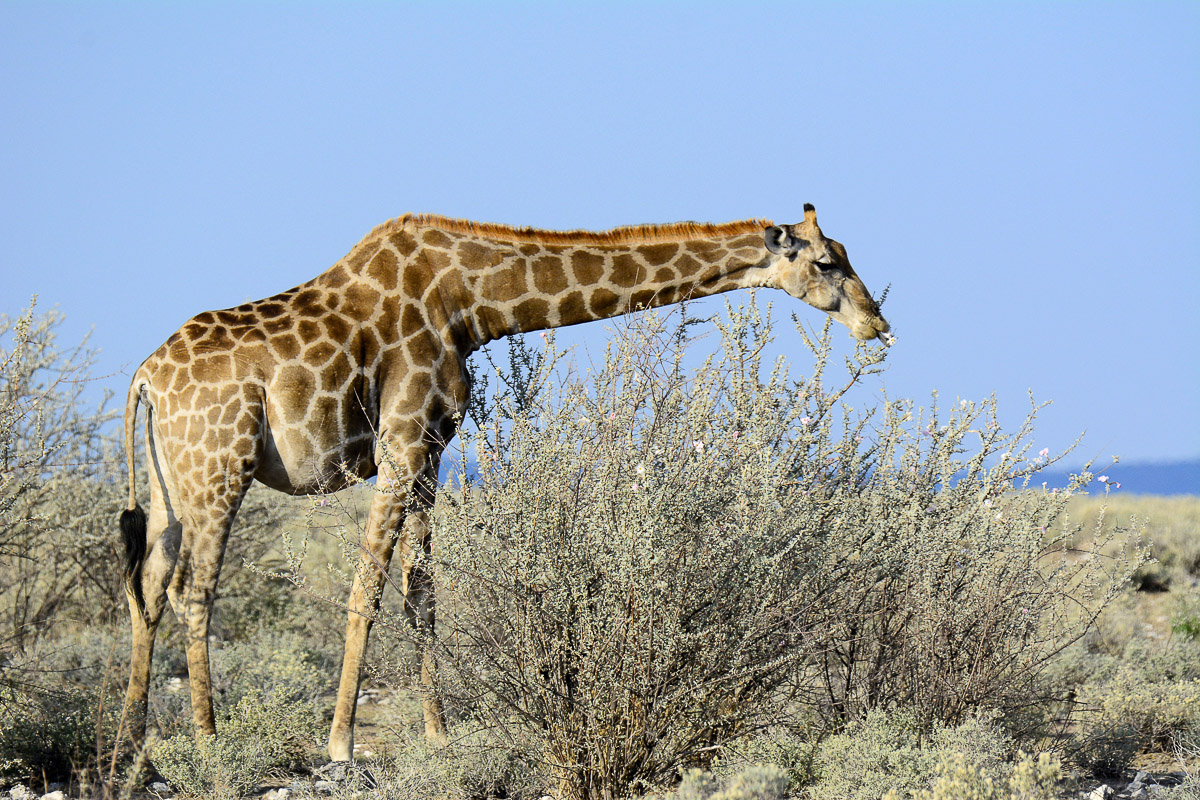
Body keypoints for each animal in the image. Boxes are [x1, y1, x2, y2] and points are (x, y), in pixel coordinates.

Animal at [119, 203, 892, 762]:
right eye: (827, 261)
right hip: (219, 466)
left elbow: (421, 595)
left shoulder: (431, 451)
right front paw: (340, 745)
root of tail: (144, 380)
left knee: (150, 583)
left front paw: (438, 736)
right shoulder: (401, 443)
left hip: (169, 482)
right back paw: (208, 741)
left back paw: (135, 744)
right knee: (194, 589)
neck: (474, 304)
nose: (877, 324)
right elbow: (366, 589)